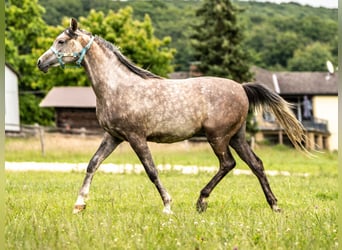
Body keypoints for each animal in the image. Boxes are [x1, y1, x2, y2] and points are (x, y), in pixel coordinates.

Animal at [38, 18, 308, 215]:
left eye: (61, 41)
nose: (41, 62)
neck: (117, 87)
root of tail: (242, 88)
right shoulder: (113, 136)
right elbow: (93, 163)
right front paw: (79, 205)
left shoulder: (136, 137)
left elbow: (151, 171)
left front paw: (167, 205)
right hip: (236, 137)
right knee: (256, 165)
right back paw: (274, 206)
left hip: (218, 137)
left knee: (228, 164)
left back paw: (201, 201)